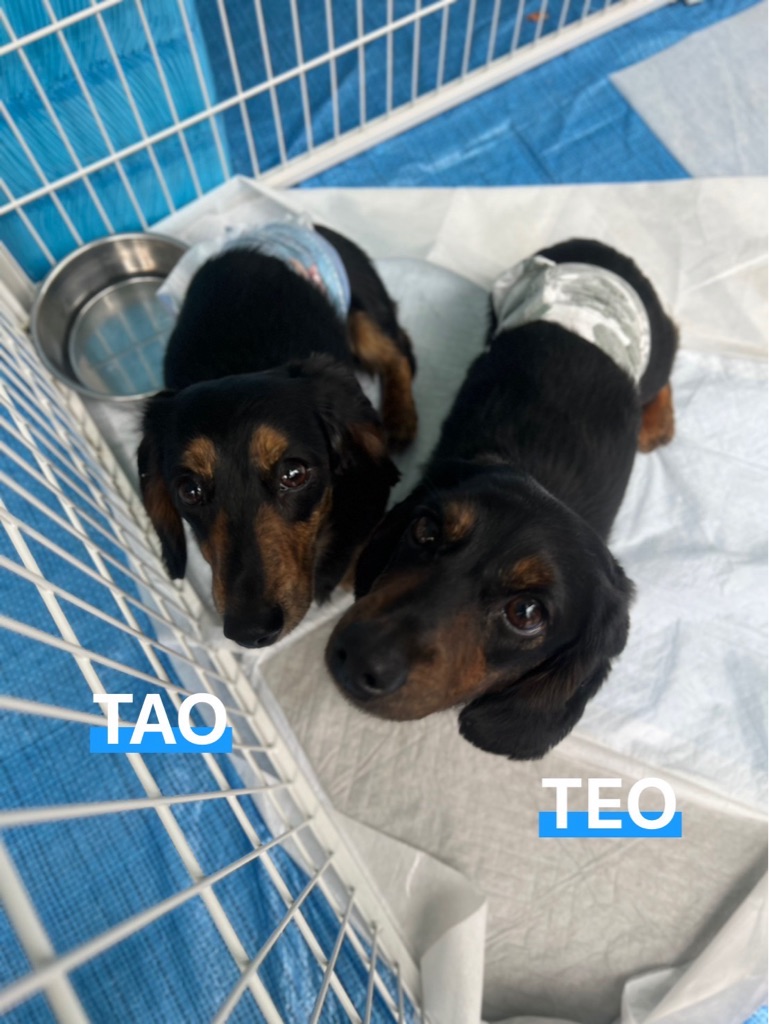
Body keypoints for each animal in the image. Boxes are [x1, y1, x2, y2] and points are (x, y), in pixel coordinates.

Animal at [138, 222, 416, 648]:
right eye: (189, 490)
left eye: (294, 473)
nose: (250, 630)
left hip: (363, 312)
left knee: (396, 351)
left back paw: (401, 416)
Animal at [326, 239, 678, 759]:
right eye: (425, 530)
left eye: (526, 613)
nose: (356, 658)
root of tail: (598, 246)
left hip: (656, 353)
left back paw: (657, 422)